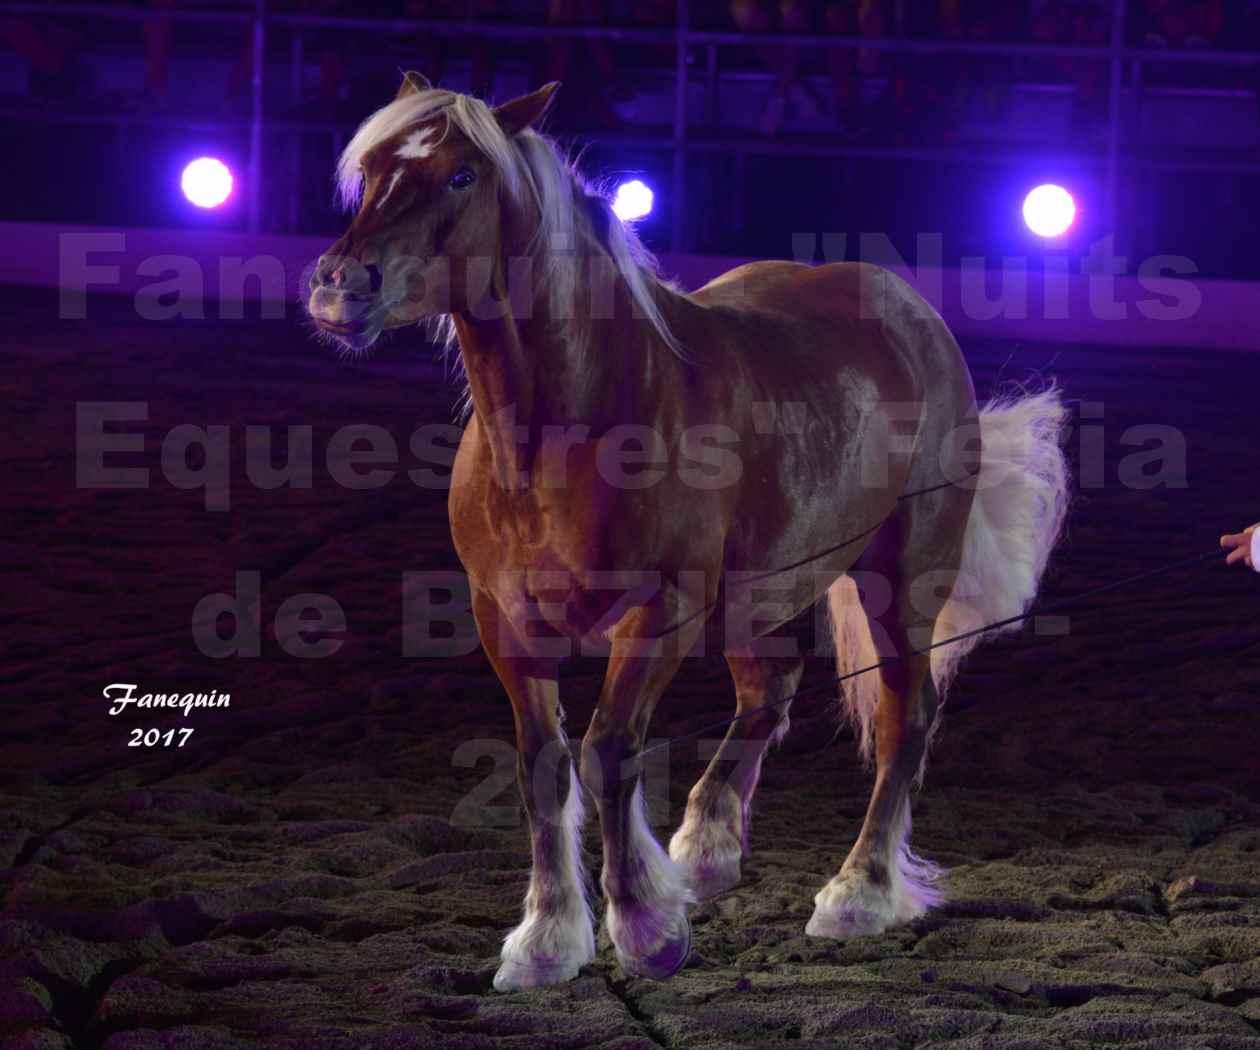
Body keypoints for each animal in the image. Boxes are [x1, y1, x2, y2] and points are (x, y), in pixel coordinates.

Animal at [304, 75, 1063, 993]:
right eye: (373, 168)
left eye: (461, 176)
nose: (339, 286)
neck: (570, 432)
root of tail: (915, 314)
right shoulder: (506, 621)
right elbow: (543, 765)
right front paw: (547, 940)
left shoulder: (659, 615)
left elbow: (608, 751)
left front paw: (645, 929)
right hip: (753, 597)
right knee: (769, 689)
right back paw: (707, 846)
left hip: (903, 580)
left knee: (903, 717)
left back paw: (859, 894)